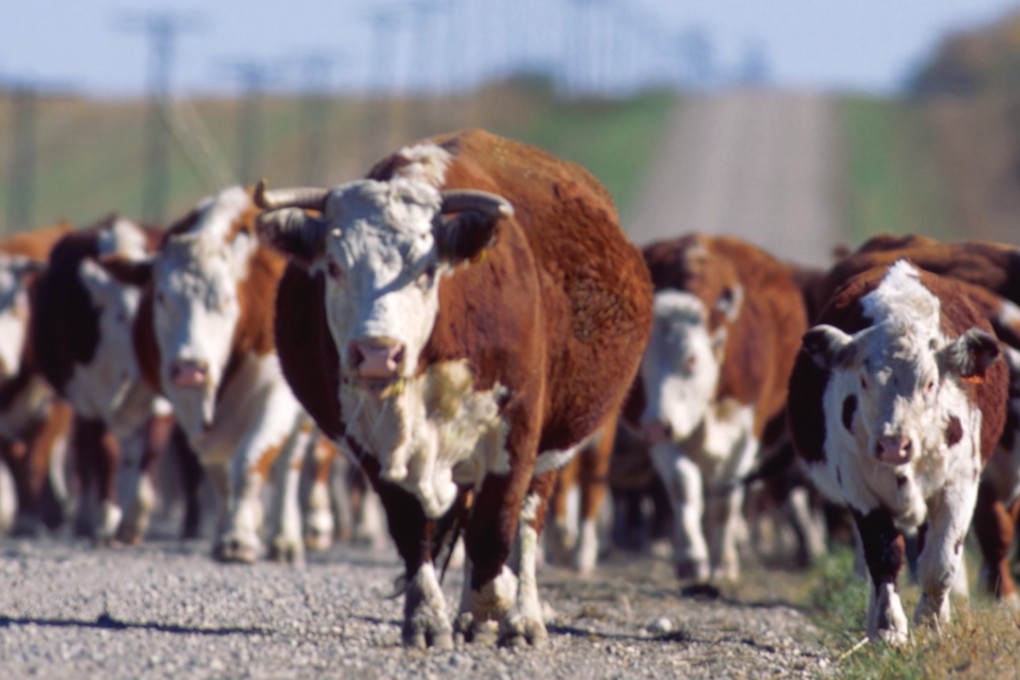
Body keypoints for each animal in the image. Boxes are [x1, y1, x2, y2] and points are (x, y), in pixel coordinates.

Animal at [102, 186, 311, 563]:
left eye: (227, 300)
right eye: (161, 296)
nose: (190, 368)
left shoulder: (276, 394)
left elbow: (250, 460)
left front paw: (238, 539)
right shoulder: (186, 406)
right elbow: (219, 472)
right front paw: (231, 529)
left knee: (290, 463)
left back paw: (284, 538)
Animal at [256, 128, 653, 648]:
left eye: (426, 270)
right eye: (336, 267)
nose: (378, 353)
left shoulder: (517, 431)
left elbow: (495, 527)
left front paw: (495, 604)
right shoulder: (370, 442)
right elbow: (413, 529)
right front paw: (427, 618)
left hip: (550, 447)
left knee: (526, 523)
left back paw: (522, 618)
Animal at [628, 234, 809, 582]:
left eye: (692, 359)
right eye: (641, 362)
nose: (657, 424)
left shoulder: (747, 433)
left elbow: (726, 500)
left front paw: (723, 564)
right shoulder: (662, 435)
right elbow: (683, 487)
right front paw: (692, 558)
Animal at [788, 260, 1008, 645]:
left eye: (930, 382)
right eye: (863, 380)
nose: (893, 444)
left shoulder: (959, 485)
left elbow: (939, 563)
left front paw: (932, 626)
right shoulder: (859, 487)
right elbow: (883, 557)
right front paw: (889, 628)